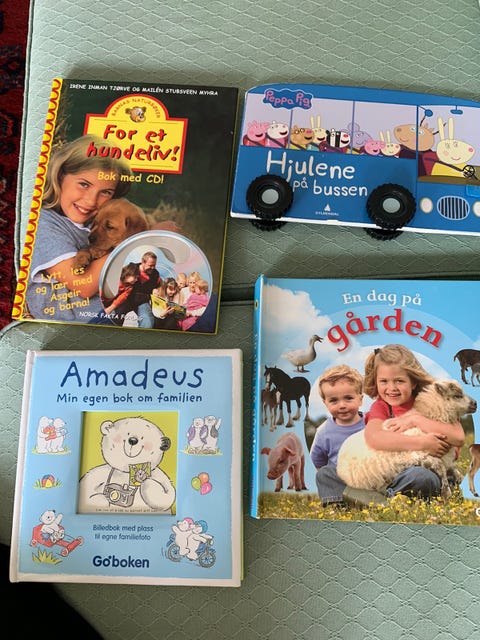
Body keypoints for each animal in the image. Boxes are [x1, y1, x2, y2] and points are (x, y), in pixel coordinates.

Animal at [336, 380, 477, 499]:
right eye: (457, 395)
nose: (475, 403)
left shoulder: (445, 458)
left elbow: (454, 469)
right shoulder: (418, 454)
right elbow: (440, 467)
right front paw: (446, 494)